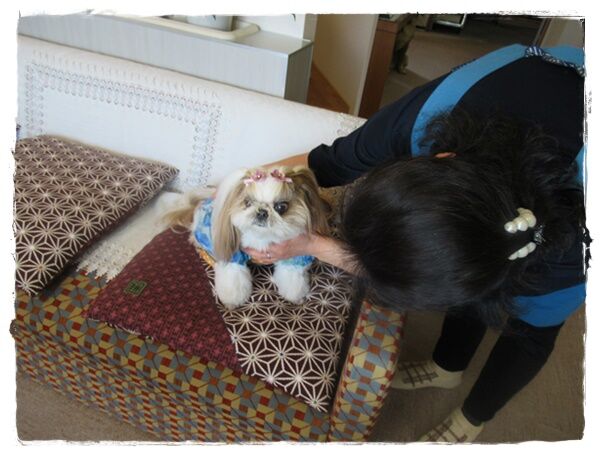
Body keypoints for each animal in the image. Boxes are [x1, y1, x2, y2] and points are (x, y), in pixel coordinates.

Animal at [165, 166, 329, 309]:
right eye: (247, 203)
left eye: (281, 207)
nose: (262, 212)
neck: (261, 238)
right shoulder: (233, 257)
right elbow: (233, 281)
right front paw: (232, 303)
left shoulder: (293, 255)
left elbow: (292, 280)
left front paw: (295, 297)